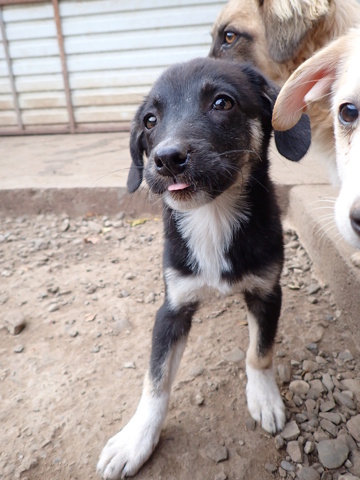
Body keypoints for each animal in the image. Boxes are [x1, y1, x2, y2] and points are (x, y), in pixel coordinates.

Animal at [97, 58, 310, 478]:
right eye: (149, 120)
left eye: (222, 102)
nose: (167, 158)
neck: (212, 219)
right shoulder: (172, 308)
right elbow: (156, 379)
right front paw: (136, 439)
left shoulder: (267, 291)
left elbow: (260, 352)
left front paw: (264, 398)